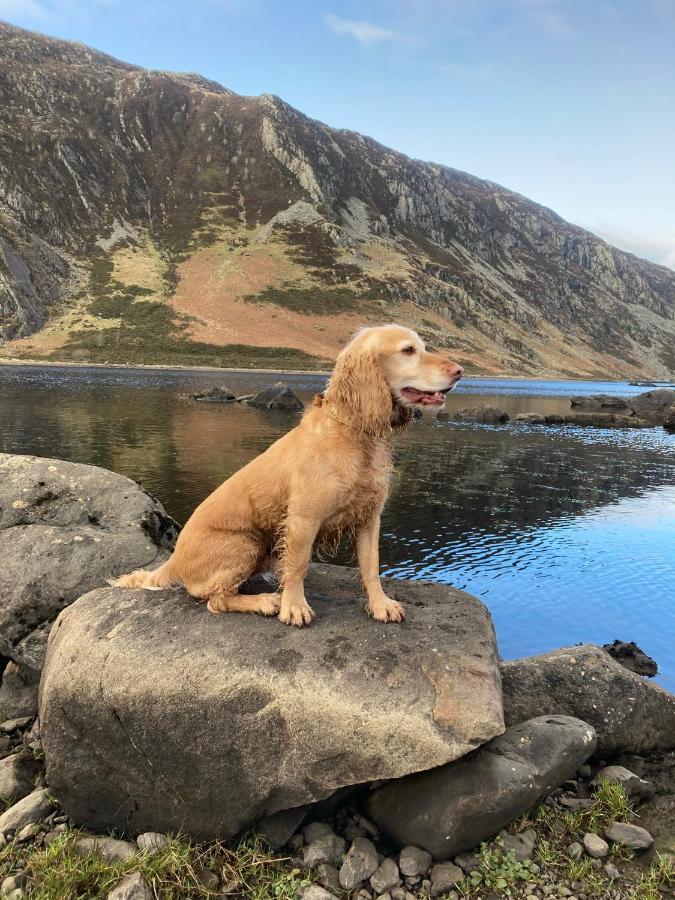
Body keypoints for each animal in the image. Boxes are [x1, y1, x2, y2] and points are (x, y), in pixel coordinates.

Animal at [111, 326, 468, 624]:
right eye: (408, 350)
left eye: (423, 346)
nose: (459, 371)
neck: (354, 433)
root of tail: (173, 561)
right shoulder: (302, 519)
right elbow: (298, 566)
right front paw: (293, 607)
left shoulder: (369, 518)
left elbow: (371, 566)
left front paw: (380, 605)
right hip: (245, 543)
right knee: (216, 600)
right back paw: (265, 601)